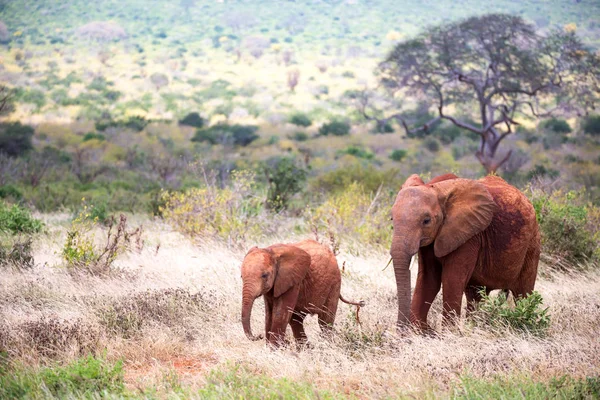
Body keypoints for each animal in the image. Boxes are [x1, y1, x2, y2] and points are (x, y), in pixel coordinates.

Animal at [392, 173, 540, 330]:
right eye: (392, 218)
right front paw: (419, 331)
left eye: (426, 221)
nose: (400, 329)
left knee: (523, 293)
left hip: (532, 244)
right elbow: (429, 279)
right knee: (475, 296)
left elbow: (451, 280)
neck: (438, 189)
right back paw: (474, 325)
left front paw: (448, 332)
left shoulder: (469, 236)